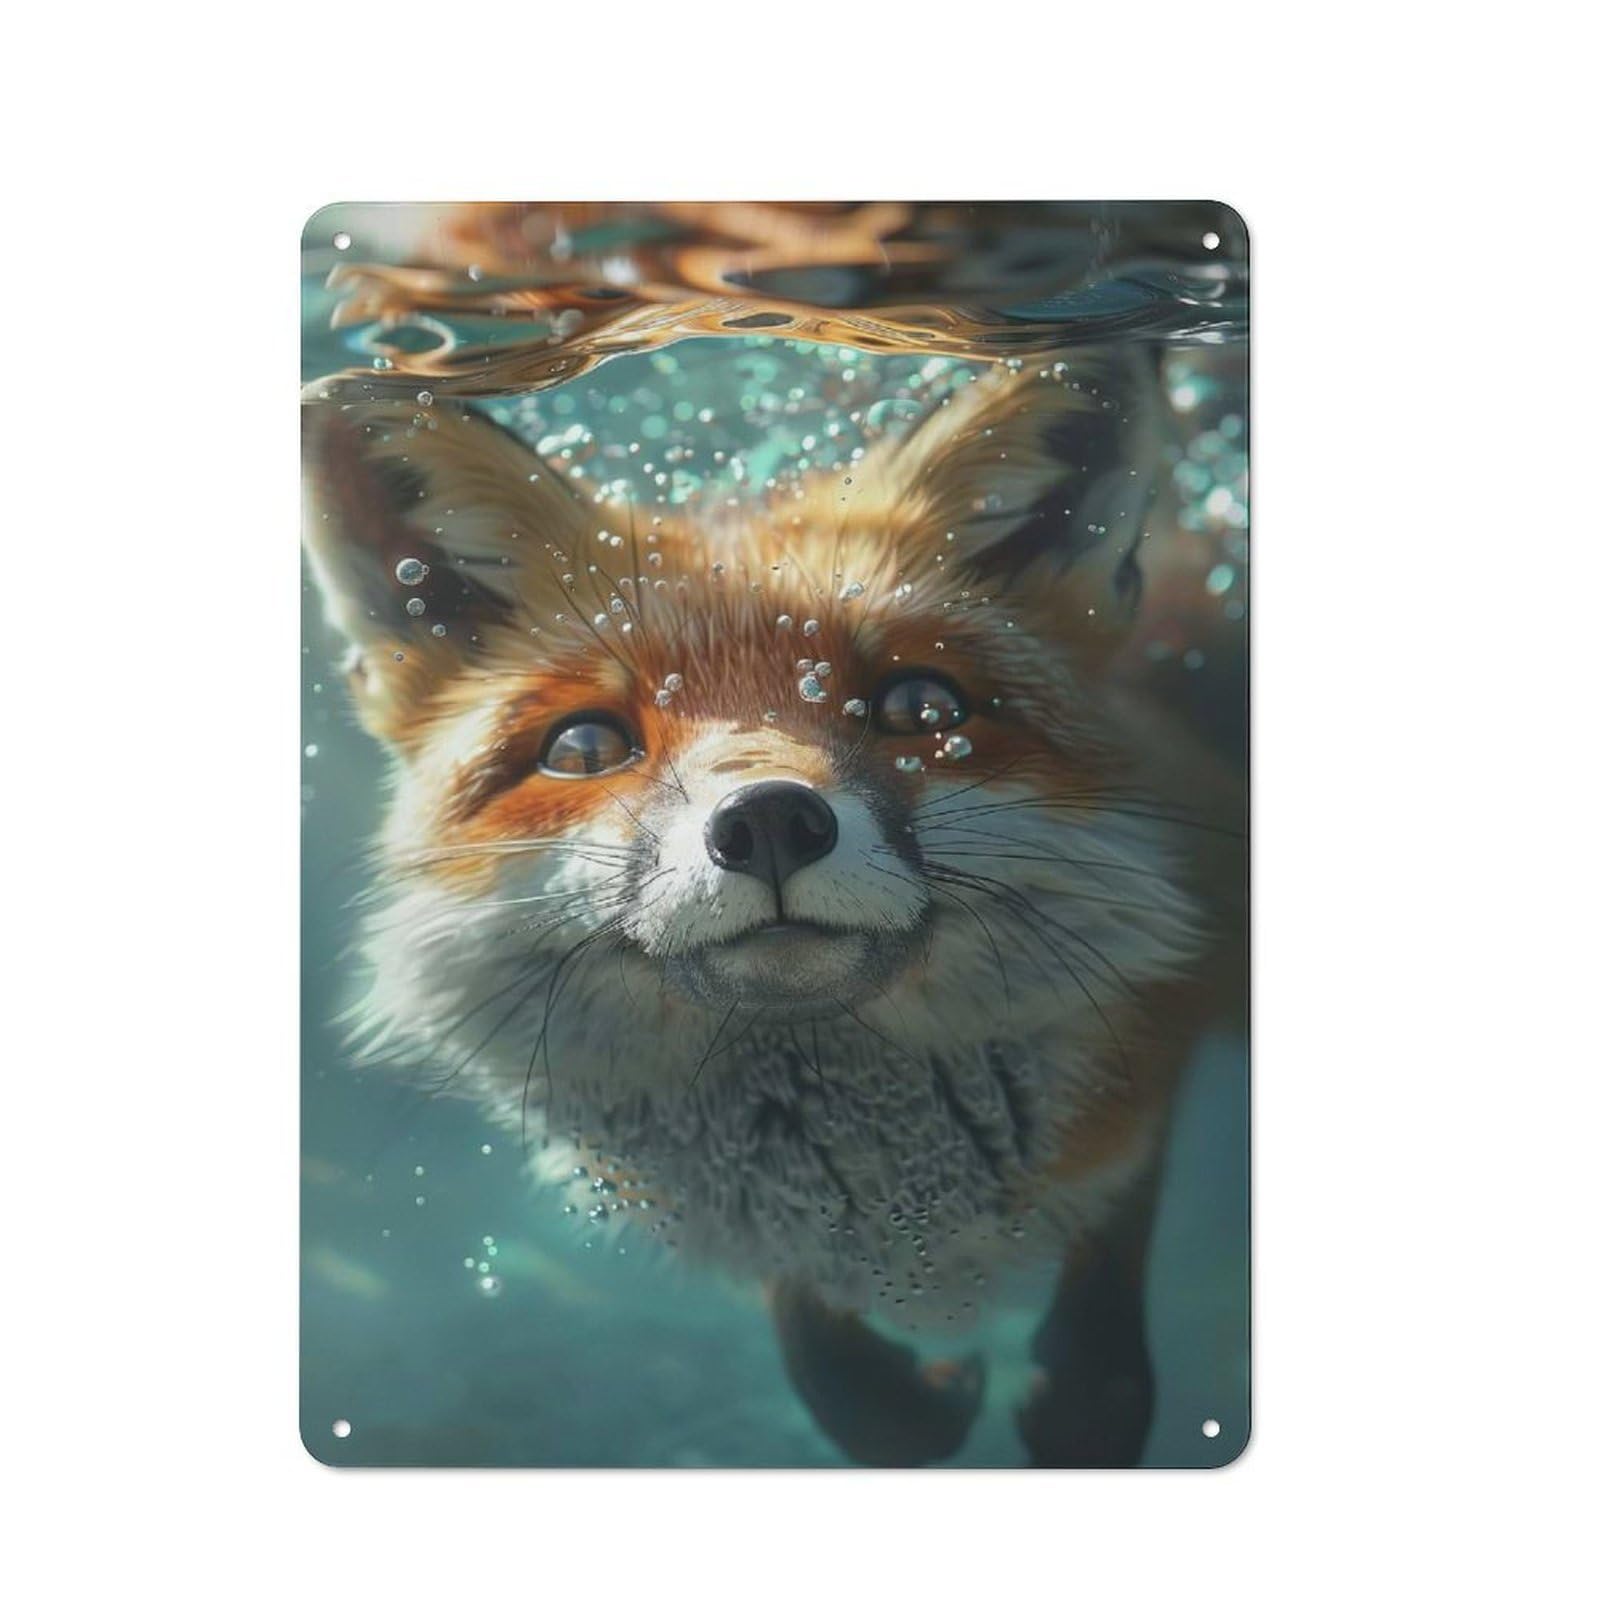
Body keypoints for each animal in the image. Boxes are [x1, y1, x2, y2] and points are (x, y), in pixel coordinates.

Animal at [302, 358, 1245, 1467]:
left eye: (921, 707)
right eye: (585, 746)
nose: (767, 822)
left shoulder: (1164, 1025)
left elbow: (1108, 1271)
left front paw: (1082, 1397)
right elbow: (829, 1366)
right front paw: (905, 1397)